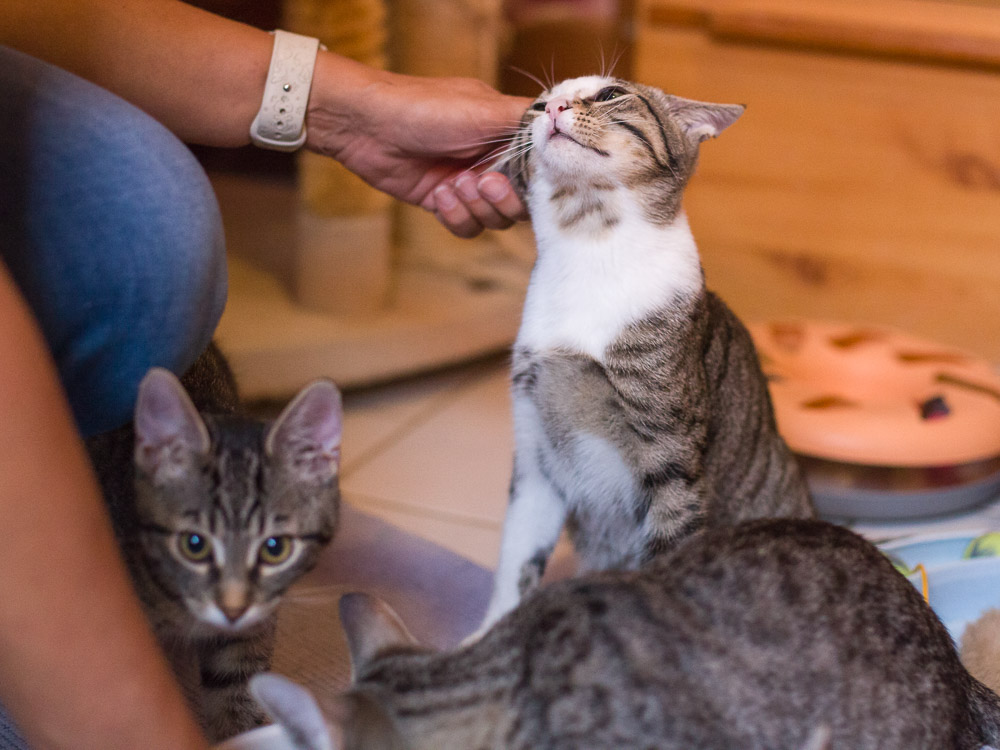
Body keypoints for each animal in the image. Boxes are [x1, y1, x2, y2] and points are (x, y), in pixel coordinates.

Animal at [480, 76, 816, 632]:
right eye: (535, 103)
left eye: (611, 93)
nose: (555, 107)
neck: (590, 250)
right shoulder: (533, 454)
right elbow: (514, 565)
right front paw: (484, 638)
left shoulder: (673, 460)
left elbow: (663, 555)